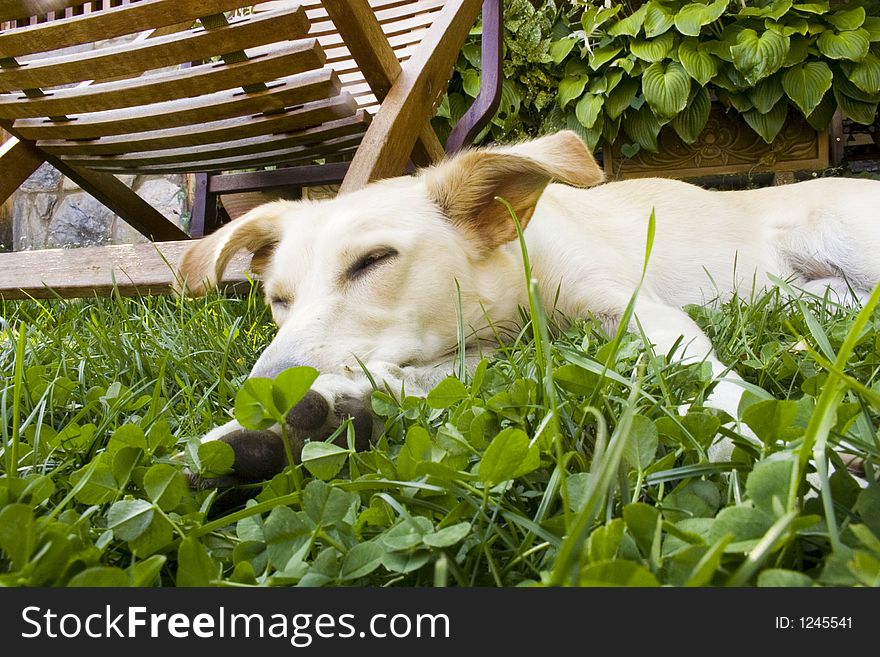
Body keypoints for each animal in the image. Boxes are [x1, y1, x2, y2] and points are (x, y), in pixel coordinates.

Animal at [177, 129, 872, 486]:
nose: (263, 396)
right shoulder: (485, 352)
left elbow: (718, 383)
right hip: (813, 290)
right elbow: (415, 377)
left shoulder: (643, 314)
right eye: (278, 300)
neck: (521, 286)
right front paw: (265, 432)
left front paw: (777, 447)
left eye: (372, 261)